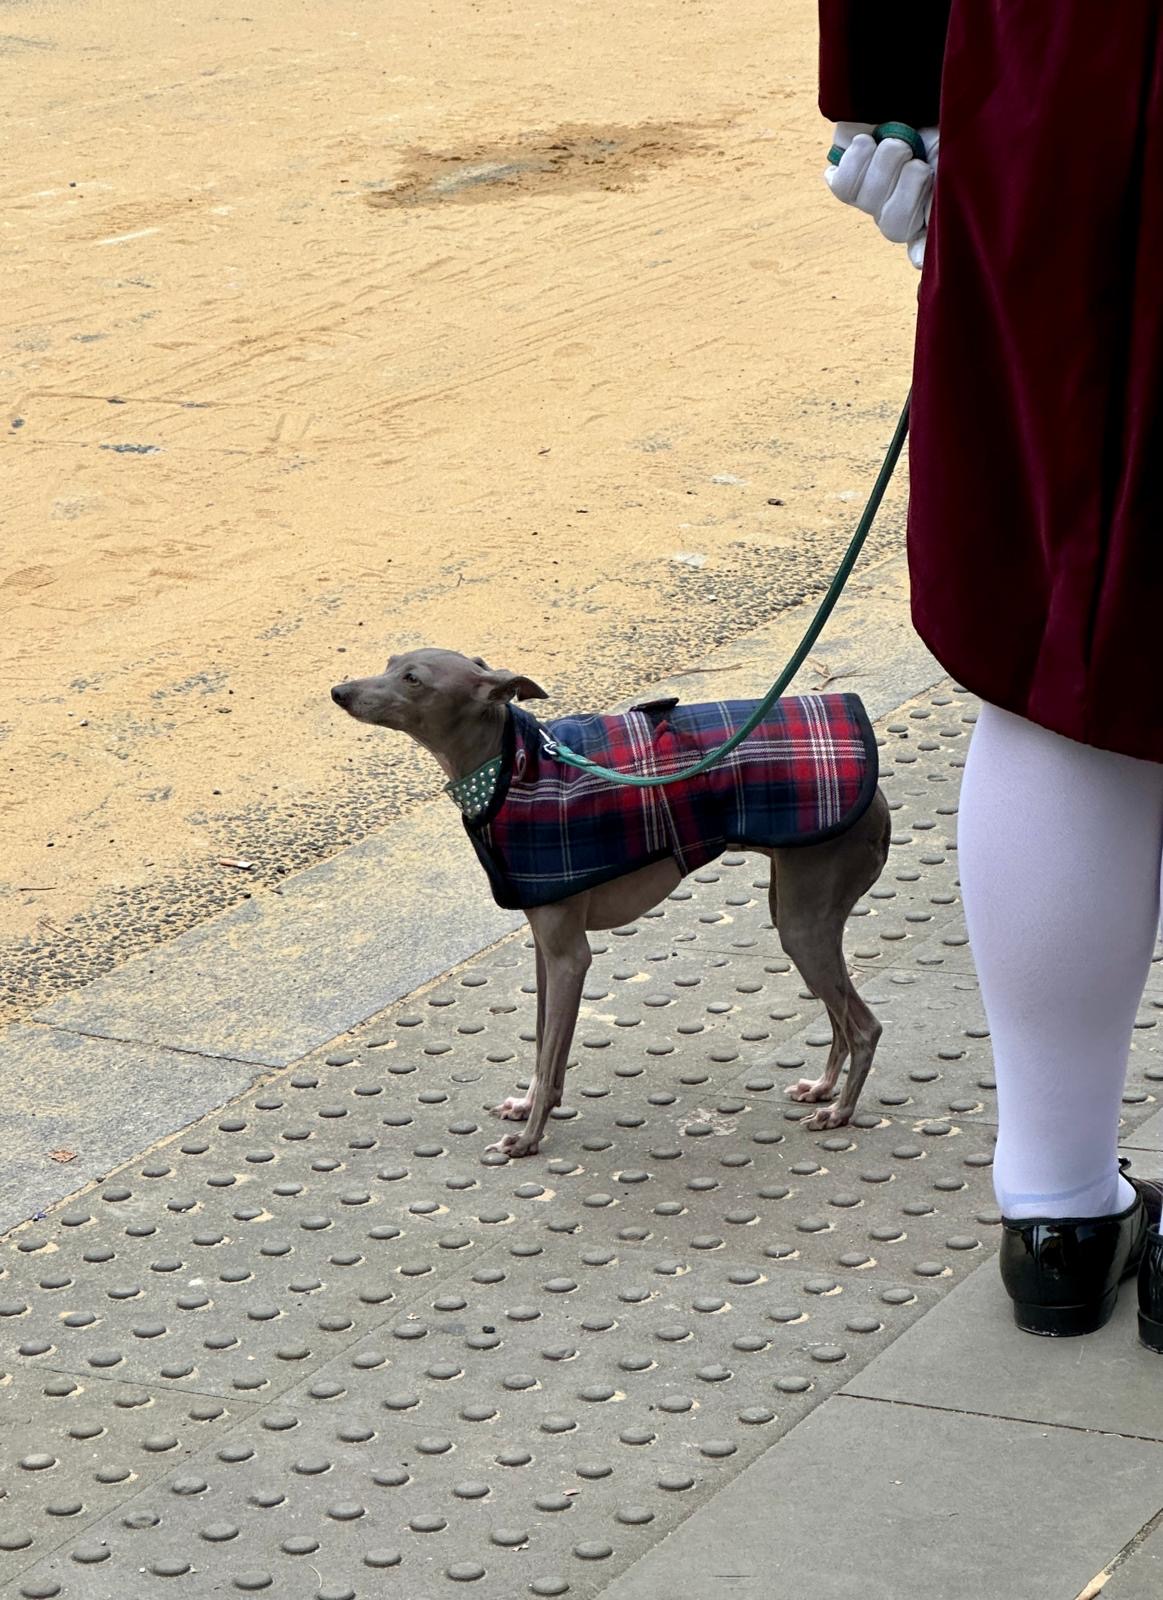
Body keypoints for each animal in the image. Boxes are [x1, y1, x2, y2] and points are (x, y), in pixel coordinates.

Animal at [332, 649, 895, 1164]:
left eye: (412, 679)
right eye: (390, 660)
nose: (339, 692)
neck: (508, 767)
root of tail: (880, 801)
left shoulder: (569, 955)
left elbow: (550, 1054)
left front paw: (529, 1139)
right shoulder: (544, 950)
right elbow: (545, 1047)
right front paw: (530, 1107)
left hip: (804, 921)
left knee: (864, 1026)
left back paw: (840, 1111)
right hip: (794, 911)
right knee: (841, 1019)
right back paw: (822, 1089)